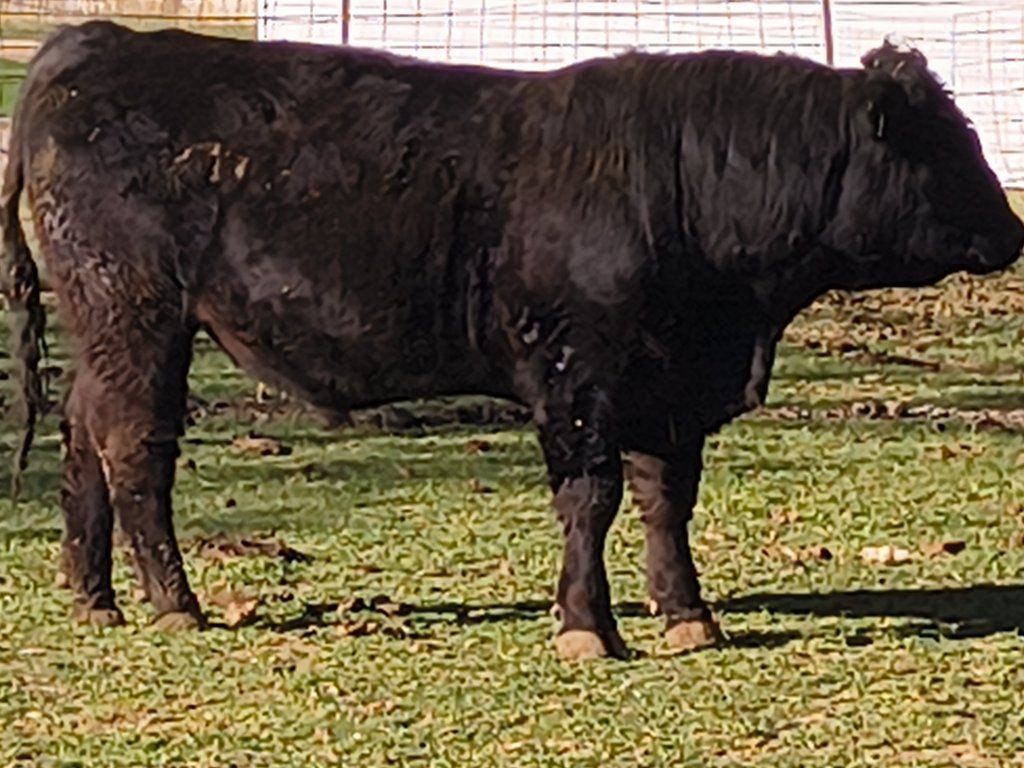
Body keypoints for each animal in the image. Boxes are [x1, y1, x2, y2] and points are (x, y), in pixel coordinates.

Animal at [2, 21, 1021, 660]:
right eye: (947, 144)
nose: (1012, 229)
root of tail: (99, 42)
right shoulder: (577, 375)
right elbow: (591, 498)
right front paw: (587, 628)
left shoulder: (668, 385)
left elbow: (666, 501)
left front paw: (687, 615)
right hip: (139, 315)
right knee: (134, 447)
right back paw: (175, 605)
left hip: (107, 328)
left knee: (85, 437)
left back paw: (94, 597)